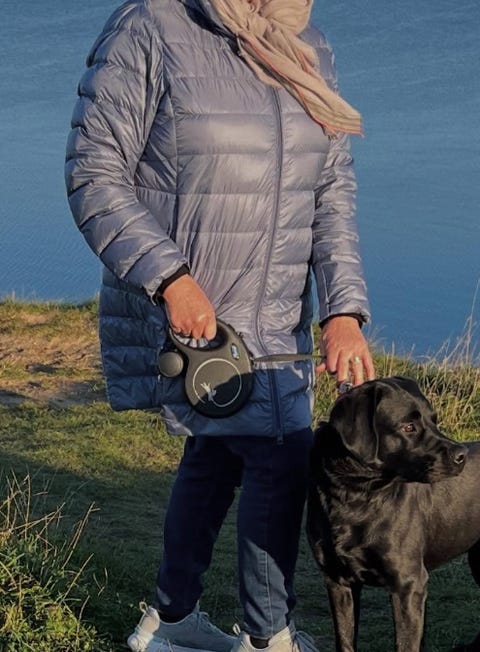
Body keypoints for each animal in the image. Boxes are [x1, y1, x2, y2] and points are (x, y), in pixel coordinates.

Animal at [306, 376, 480, 652]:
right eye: (408, 427)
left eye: (434, 419)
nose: (460, 455)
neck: (356, 496)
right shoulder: (338, 581)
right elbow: (345, 640)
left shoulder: (408, 584)